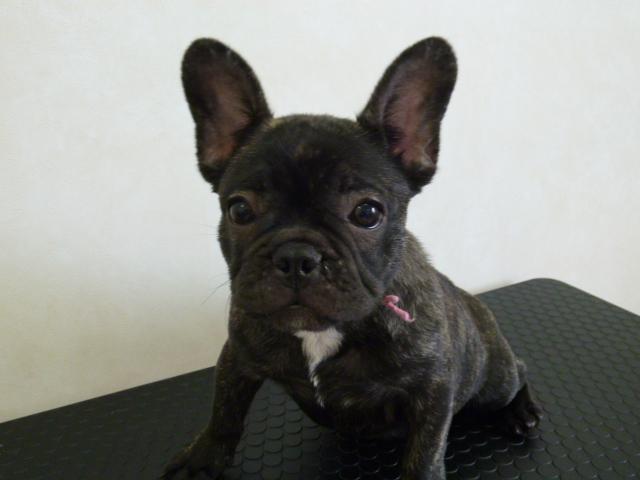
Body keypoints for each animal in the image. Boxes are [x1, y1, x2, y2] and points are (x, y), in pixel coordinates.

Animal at [163, 37, 541, 480]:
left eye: (367, 213)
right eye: (239, 210)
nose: (297, 256)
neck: (324, 331)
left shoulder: (433, 389)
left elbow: (424, 452)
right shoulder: (238, 356)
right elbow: (224, 411)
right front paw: (202, 460)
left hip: (493, 378)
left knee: (519, 372)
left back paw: (521, 411)